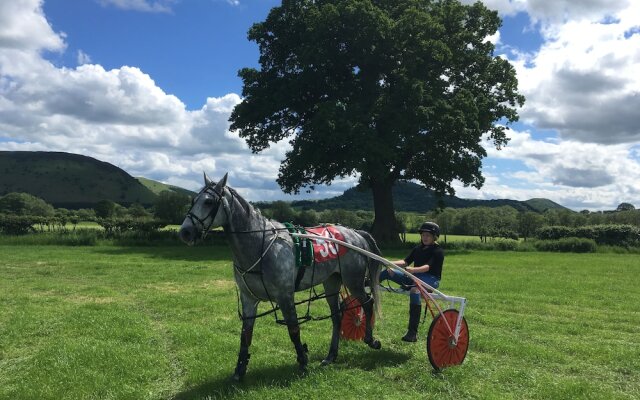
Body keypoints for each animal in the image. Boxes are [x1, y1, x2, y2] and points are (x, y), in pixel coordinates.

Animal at [178, 173, 382, 380]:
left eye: (209, 202)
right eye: (193, 201)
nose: (185, 232)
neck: (260, 245)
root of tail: (355, 233)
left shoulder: (285, 296)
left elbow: (293, 329)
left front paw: (303, 361)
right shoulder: (248, 299)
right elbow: (246, 335)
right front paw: (240, 370)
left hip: (353, 281)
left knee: (367, 303)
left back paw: (370, 339)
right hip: (331, 282)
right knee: (337, 316)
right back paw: (331, 355)